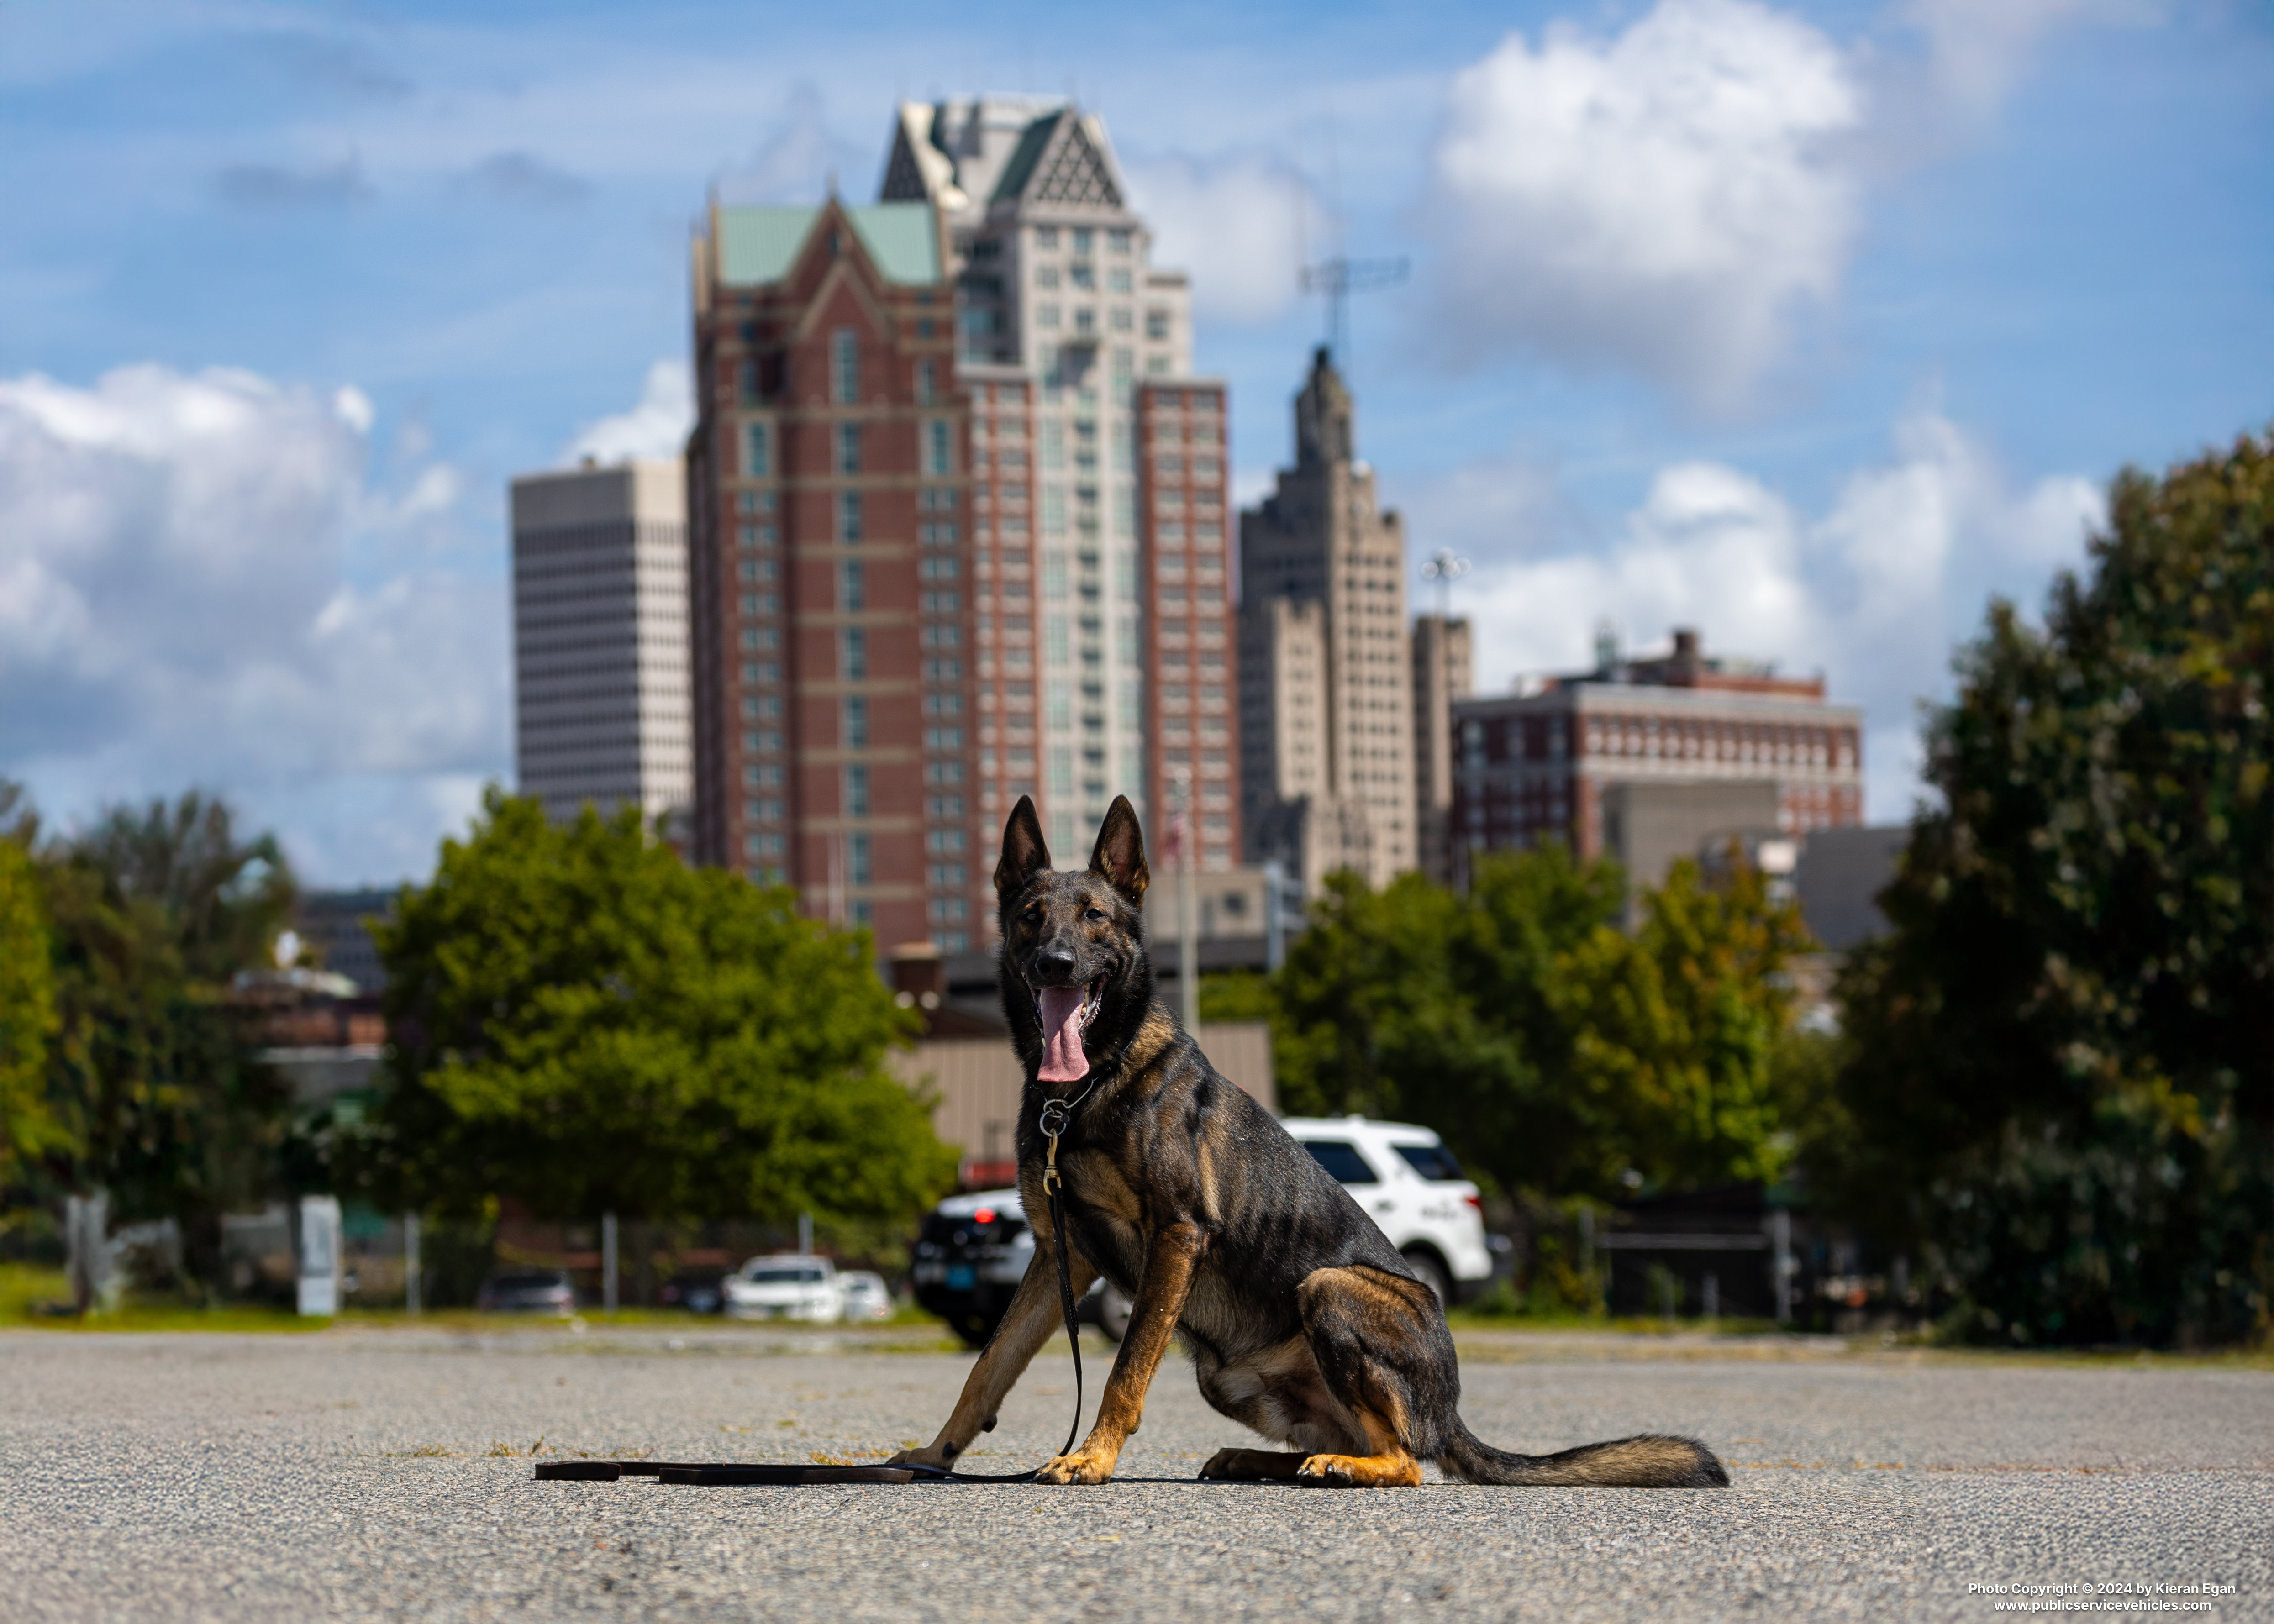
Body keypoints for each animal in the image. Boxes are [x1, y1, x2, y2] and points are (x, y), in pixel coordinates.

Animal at [887, 791, 1719, 1483]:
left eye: (1094, 916)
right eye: (1032, 916)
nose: (1056, 962)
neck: (1087, 1086)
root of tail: (1450, 1416)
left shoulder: (1175, 1236)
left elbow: (1124, 1370)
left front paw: (1090, 1457)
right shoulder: (1060, 1253)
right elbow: (988, 1367)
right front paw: (933, 1454)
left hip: (1327, 1289)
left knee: (1406, 1459)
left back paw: (1342, 1468)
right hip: (1227, 1375)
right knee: (1357, 1437)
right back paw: (1266, 1461)